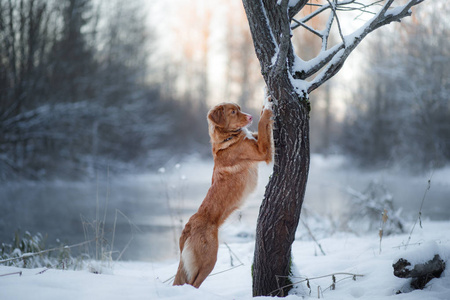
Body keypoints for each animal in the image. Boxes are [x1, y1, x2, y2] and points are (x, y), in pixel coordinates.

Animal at [172, 99, 272, 288]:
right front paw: (268, 110)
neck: (229, 139)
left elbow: (260, 129)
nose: (250, 116)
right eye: (233, 112)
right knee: (193, 283)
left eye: (239, 109)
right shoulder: (262, 151)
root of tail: (187, 228)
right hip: (208, 260)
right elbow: (263, 124)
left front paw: (265, 104)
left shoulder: (256, 139)